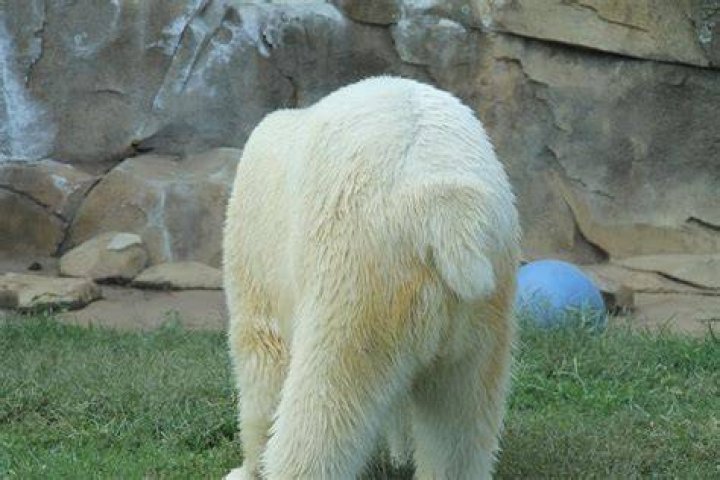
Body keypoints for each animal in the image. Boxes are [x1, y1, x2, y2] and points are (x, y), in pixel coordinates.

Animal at [223, 76, 521, 479]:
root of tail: (444, 208)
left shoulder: (257, 249)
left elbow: (262, 355)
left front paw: (247, 467)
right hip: (485, 298)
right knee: (460, 417)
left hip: (360, 277)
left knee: (327, 398)